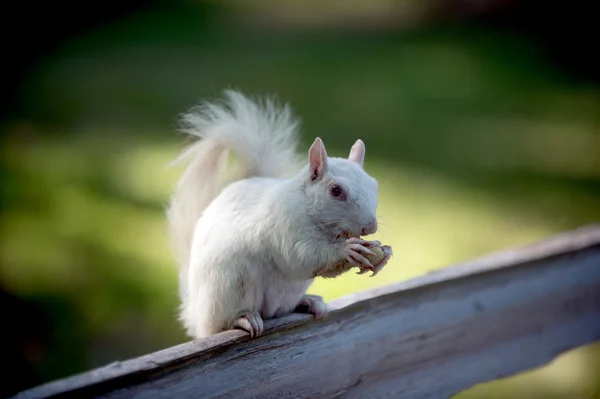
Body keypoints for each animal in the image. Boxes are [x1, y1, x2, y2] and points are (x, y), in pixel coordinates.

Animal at [166, 91, 392, 340]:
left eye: (374, 184)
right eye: (336, 190)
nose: (370, 227)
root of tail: (195, 315)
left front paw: (384, 254)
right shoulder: (283, 226)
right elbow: (302, 257)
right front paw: (347, 251)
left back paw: (308, 302)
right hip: (226, 287)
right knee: (219, 325)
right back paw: (242, 318)